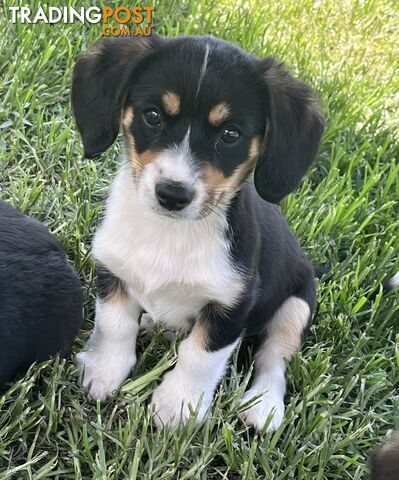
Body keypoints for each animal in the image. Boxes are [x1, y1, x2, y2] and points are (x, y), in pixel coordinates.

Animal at [72, 34, 324, 432]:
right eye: (153, 116)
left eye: (231, 134)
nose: (173, 194)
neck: (169, 233)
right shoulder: (112, 269)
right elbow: (114, 325)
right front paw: (103, 371)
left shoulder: (232, 304)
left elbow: (200, 356)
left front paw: (178, 406)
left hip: (296, 306)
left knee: (274, 359)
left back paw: (263, 405)